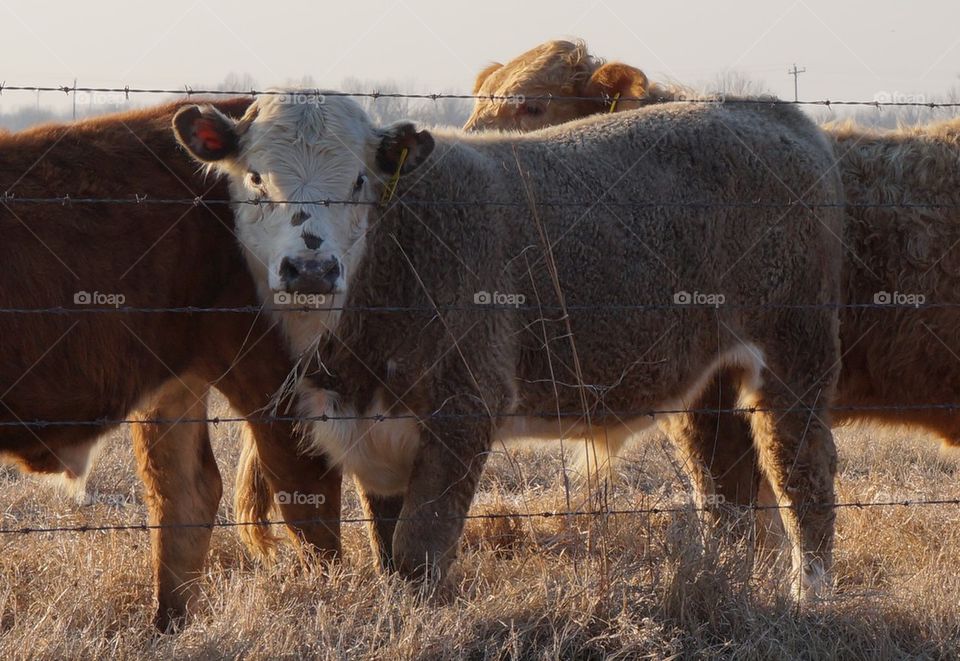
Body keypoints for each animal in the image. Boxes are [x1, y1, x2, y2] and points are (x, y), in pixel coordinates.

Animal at [174, 90, 848, 600]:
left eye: (360, 179)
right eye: (255, 178)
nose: (311, 268)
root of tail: (764, 111)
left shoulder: (465, 406)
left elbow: (419, 548)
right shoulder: (372, 430)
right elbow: (387, 549)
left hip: (796, 355)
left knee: (801, 476)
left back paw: (808, 595)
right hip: (708, 383)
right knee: (725, 486)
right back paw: (727, 580)